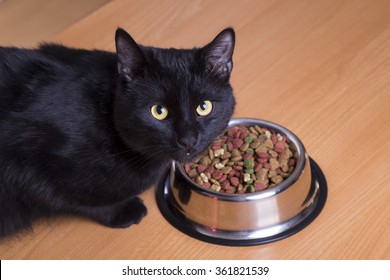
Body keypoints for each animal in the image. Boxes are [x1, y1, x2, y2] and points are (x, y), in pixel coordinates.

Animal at [0, 27, 235, 237]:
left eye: (203, 107)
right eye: (158, 111)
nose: (188, 140)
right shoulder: (25, 160)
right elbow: (73, 199)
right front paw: (124, 211)